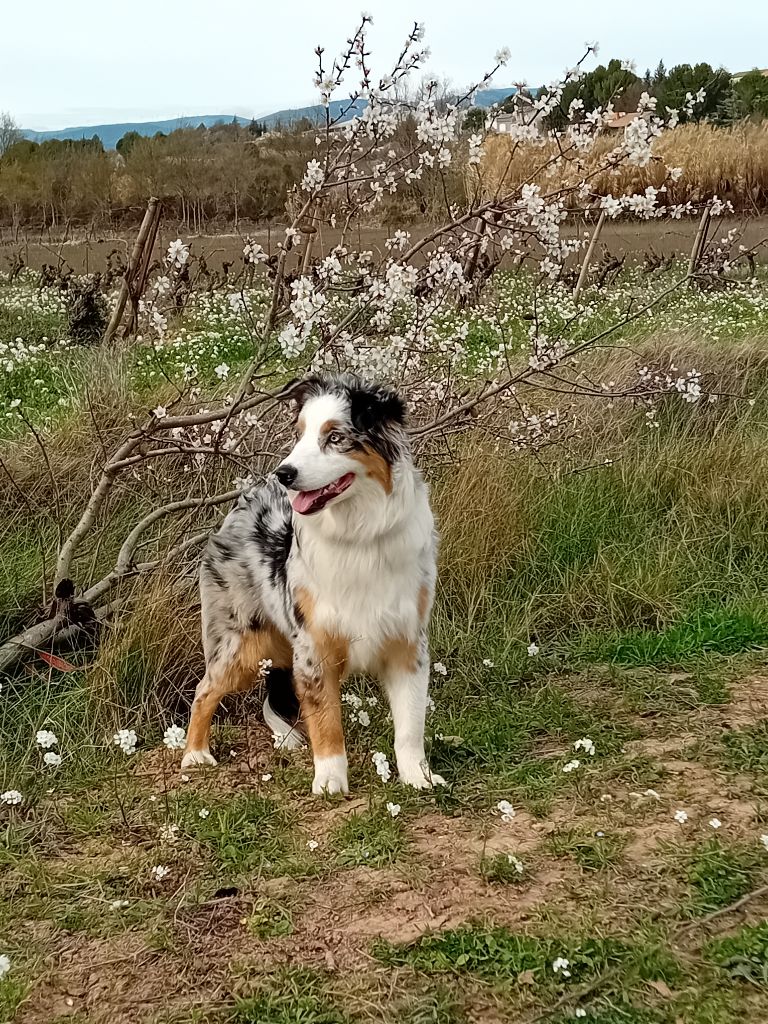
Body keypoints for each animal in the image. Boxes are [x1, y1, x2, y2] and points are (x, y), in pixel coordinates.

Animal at [182, 372, 444, 794]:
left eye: (334, 436)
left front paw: (417, 777)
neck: (359, 536)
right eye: (300, 434)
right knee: (204, 691)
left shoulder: (407, 642)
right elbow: (326, 721)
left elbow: (409, 724)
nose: (284, 474)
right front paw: (330, 782)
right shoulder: (315, 646)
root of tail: (246, 498)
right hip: (241, 645)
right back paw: (195, 754)